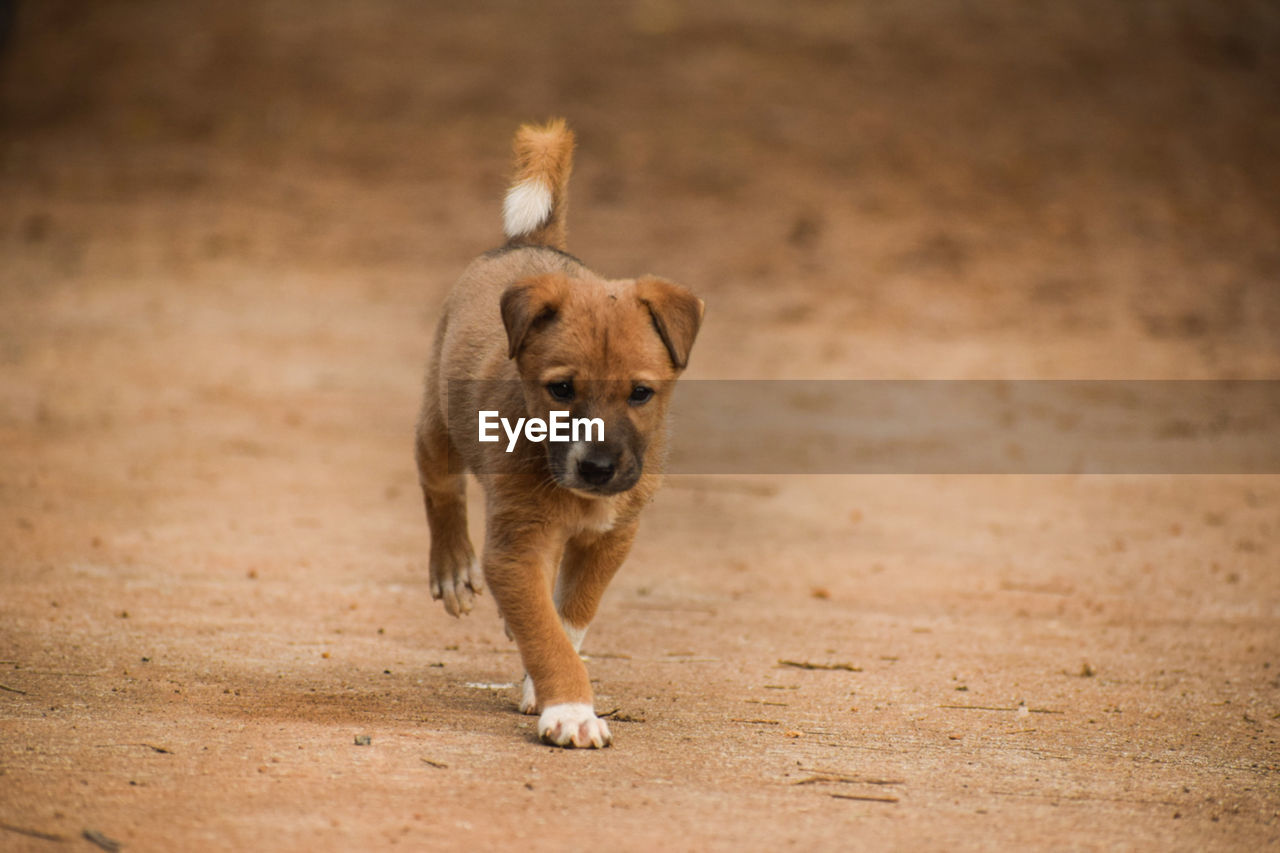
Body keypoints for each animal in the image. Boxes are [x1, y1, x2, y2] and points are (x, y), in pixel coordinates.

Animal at [414, 117, 706, 742]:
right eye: (562, 390)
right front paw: (570, 709)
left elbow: (569, 616)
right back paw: (453, 569)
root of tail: (531, 242)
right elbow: (547, 632)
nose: (597, 469)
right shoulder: (517, 546)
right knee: (440, 486)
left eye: (641, 393)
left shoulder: (611, 536)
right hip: (437, 422)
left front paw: (542, 688)